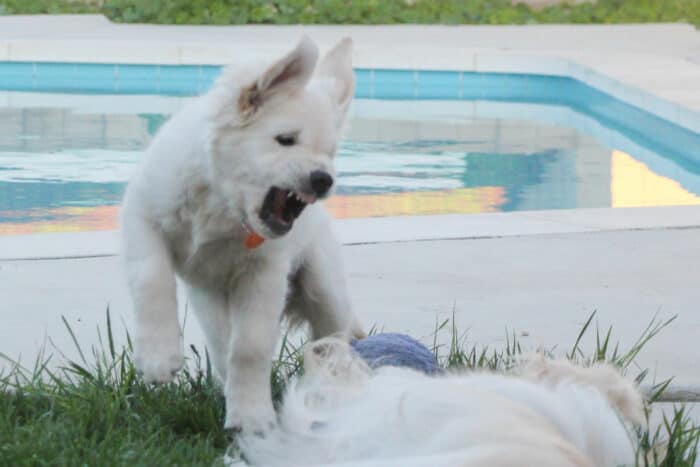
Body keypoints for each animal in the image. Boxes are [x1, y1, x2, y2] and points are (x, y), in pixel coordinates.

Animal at [119, 37, 364, 436]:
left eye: (330, 153)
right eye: (285, 140)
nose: (324, 179)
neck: (221, 204)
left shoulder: (265, 273)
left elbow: (250, 347)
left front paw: (251, 417)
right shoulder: (142, 215)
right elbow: (151, 279)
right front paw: (157, 355)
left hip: (325, 286)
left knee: (334, 338)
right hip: (209, 298)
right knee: (221, 345)